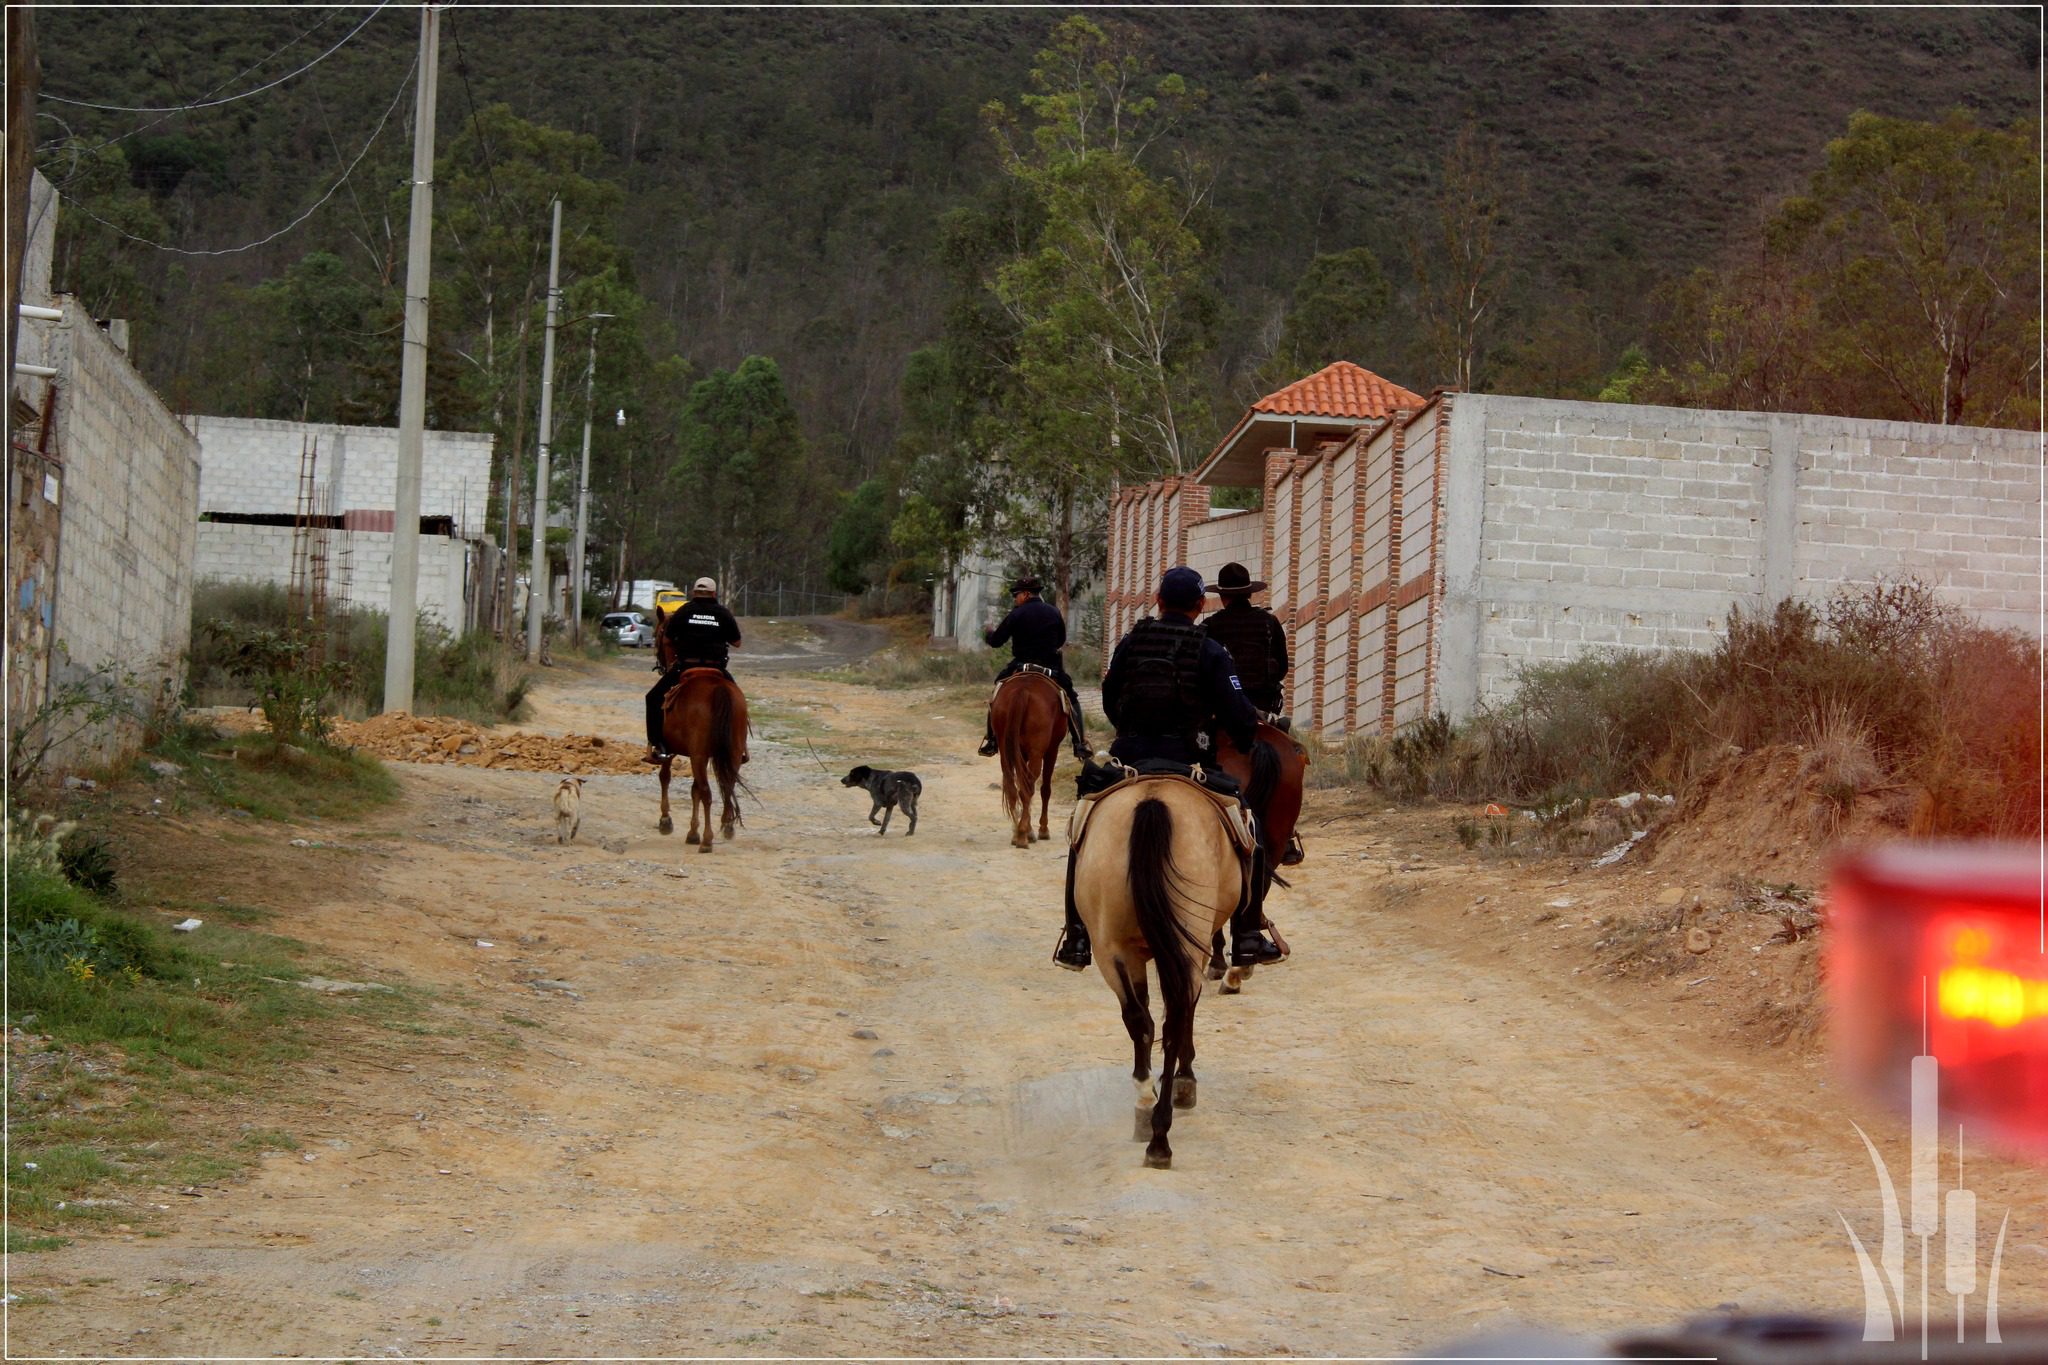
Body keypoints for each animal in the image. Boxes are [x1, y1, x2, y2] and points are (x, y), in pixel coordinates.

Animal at [995, 671, 1064, 847]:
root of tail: (1023, 690)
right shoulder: (1052, 750)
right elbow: (1045, 789)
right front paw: (1042, 830)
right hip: (1037, 753)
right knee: (1027, 790)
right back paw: (1022, 836)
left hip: (1006, 751)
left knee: (1013, 788)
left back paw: (1017, 832)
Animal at [1073, 773, 1245, 1170]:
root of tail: (1154, 801)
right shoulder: (1193, 950)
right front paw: (1185, 1078)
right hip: (1183, 942)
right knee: (1173, 1020)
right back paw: (1161, 1133)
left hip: (1112, 950)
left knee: (1142, 1021)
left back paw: (1147, 1113)